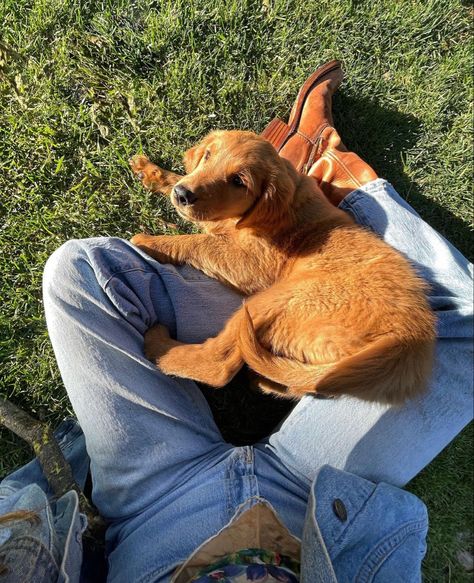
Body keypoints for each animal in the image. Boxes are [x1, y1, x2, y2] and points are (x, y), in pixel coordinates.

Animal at [130, 131, 434, 406]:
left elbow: (200, 242)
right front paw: (154, 173)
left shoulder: (251, 263)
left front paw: (150, 241)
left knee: (219, 364)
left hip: (273, 301)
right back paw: (263, 380)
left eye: (238, 181)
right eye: (207, 155)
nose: (183, 195)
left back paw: (157, 346)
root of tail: (406, 343)